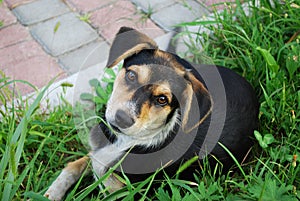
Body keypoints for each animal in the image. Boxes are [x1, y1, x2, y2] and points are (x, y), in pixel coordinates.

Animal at [44, 27, 258, 201]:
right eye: (131, 76)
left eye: (162, 99)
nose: (122, 119)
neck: (126, 141)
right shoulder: (96, 154)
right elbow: (72, 166)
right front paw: (51, 193)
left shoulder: (122, 193)